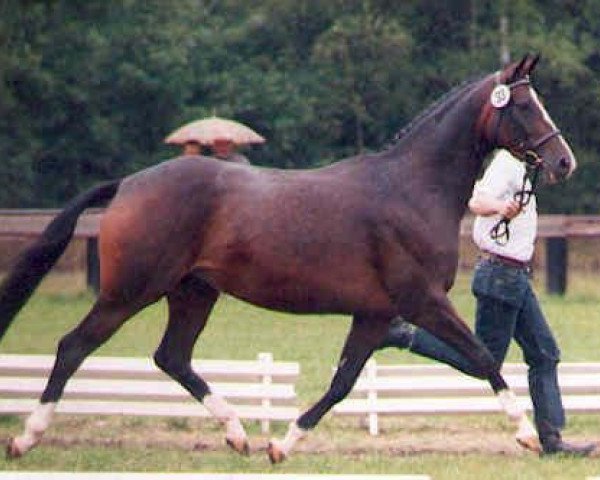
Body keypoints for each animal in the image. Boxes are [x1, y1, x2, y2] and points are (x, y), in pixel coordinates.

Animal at [0, 54, 576, 464]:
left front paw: (283, 444)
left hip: (194, 292)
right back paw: (26, 439)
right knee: (74, 346)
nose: (563, 162)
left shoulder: (376, 313)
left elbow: (344, 382)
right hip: (129, 292)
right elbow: (484, 357)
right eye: (524, 106)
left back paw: (238, 436)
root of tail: (127, 185)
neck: (412, 190)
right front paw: (527, 435)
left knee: (172, 357)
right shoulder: (422, 301)